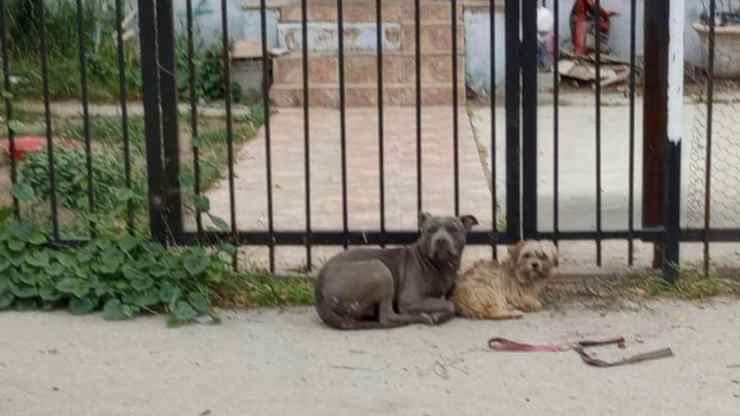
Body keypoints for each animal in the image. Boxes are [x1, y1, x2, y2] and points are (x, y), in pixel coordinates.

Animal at [314, 213, 480, 330]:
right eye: (430, 230)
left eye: (453, 229)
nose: (441, 240)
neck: (440, 265)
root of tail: (319, 293)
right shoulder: (410, 299)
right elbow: (450, 305)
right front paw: (438, 314)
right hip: (380, 269)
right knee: (387, 317)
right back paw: (422, 317)